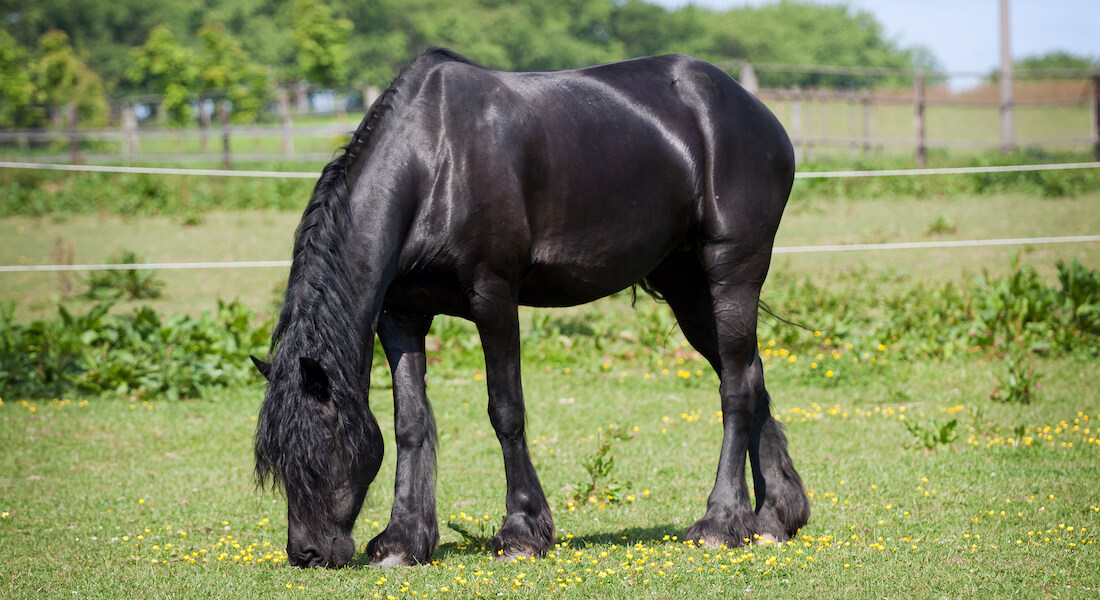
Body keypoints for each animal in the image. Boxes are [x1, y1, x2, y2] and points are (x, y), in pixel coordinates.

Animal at [253, 47, 814, 568]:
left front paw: (521, 532)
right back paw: (772, 518)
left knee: (736, 387)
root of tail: (755, 113)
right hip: (687, 287)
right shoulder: (402, 317)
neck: (433, 163)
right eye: (277, 463)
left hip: (732, 271)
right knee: (749, 375)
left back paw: (721, 521)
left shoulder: (494, 299)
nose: (306, 552)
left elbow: (506, 410)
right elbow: (409, 422)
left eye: (319, 450)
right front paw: (401, 540)